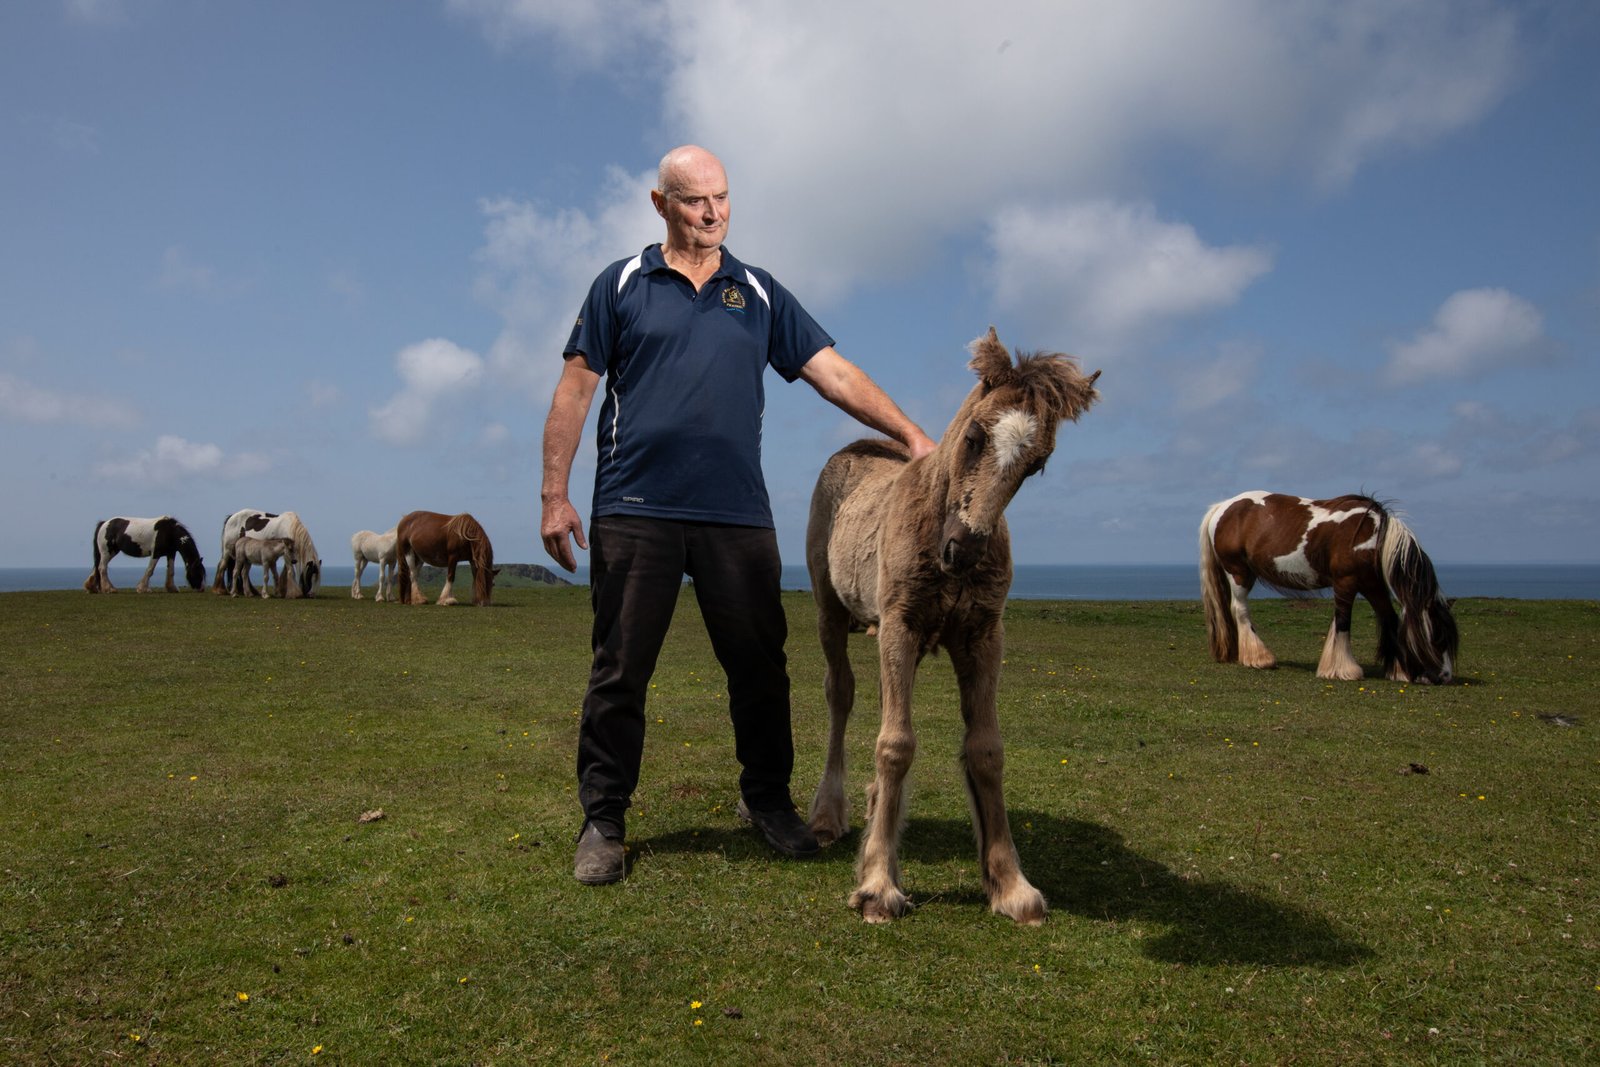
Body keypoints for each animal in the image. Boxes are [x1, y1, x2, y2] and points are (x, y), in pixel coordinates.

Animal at [806, 327, 1101, 924]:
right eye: (973, 436)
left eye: (1037, 463)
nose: (962, 550)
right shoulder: (900, 624)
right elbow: (896, 743)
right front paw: (878, 886)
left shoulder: (983, 636)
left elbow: (986, 749)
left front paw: (1010, 885)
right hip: (833, 612)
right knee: (841, 693)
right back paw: (829, 816)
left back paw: (875, 807)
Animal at [1199, 491, 1458, 684]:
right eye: (1438, 635)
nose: (1444, 676)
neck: (1375, 536)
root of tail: (1222, 507)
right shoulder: (1346, 582)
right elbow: (1343, 621)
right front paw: (1342, 670)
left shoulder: (1372, 584)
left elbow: (1389, 618)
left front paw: (1399, 670)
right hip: (1238, 573)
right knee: (1240, 610)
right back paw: (1259, 658)